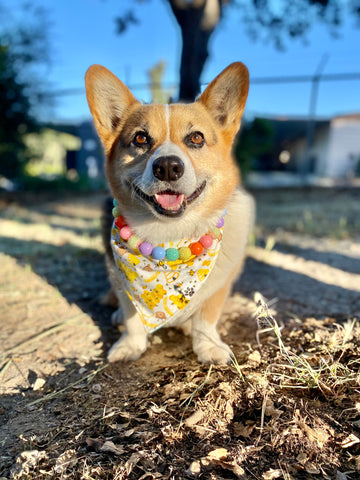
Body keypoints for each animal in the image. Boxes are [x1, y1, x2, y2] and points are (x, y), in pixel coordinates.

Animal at [85, 62, 253, 364]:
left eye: (196, 137)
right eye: (140, 138)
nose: (167, 167)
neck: (170, 237)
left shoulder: (219, 287)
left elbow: (206, 317)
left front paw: (208, 345)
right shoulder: (120, 280)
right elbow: (132, 315)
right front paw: (130, 345)